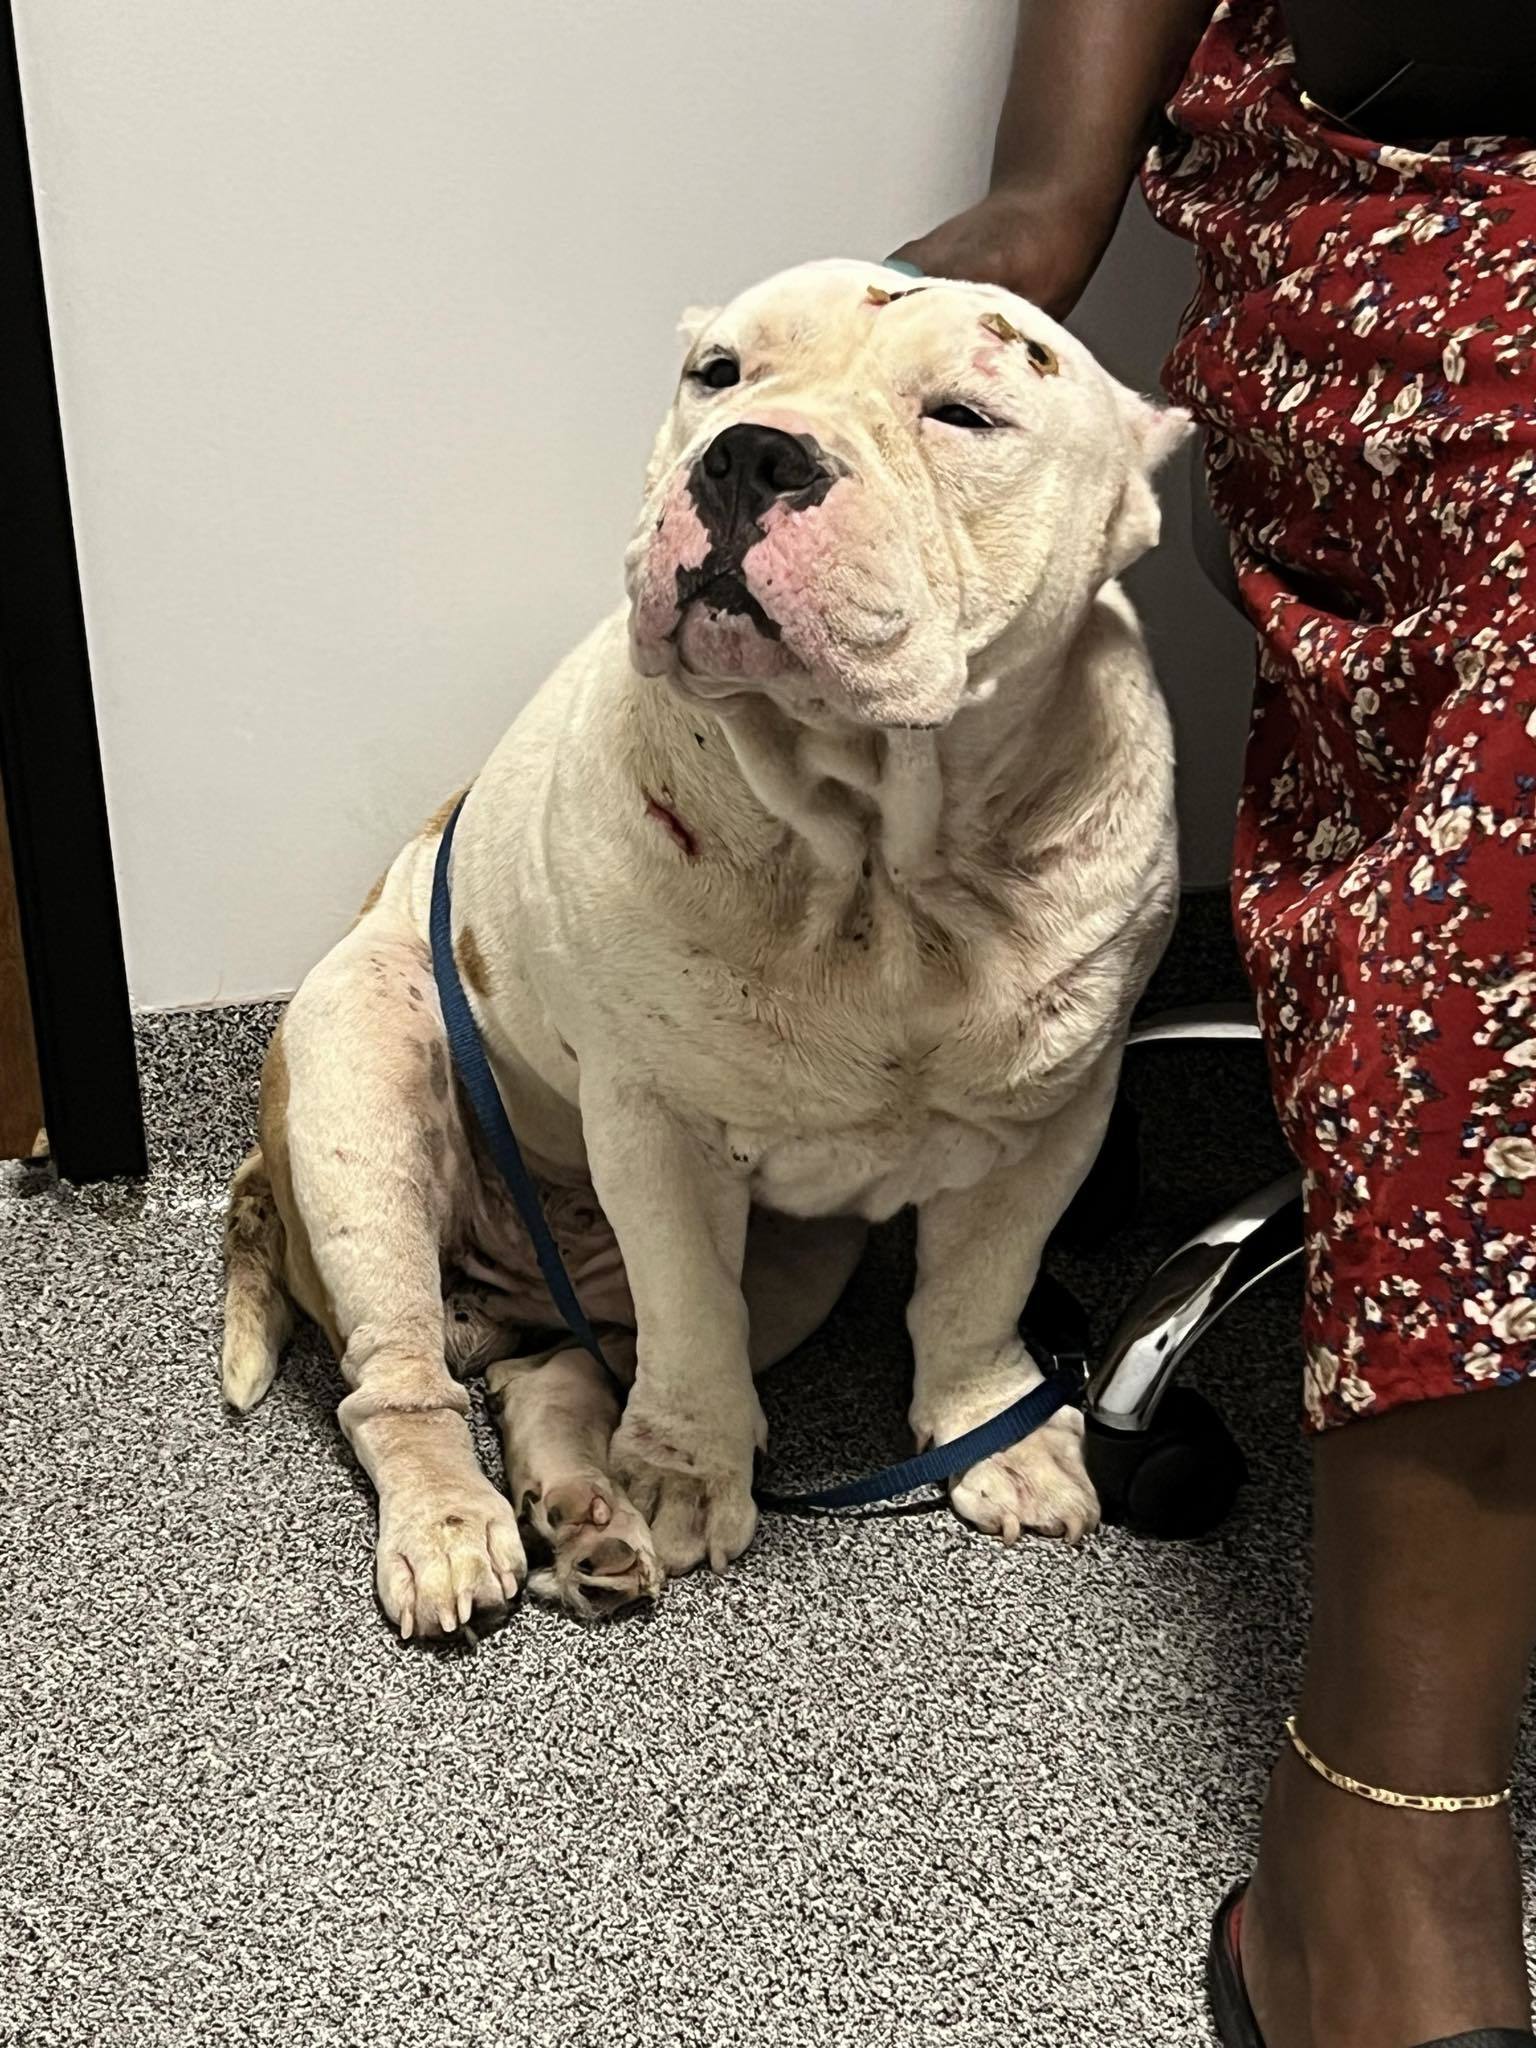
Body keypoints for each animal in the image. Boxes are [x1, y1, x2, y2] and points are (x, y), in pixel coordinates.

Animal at [222, 260, 1187, 1630]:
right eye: (719, 373)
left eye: (965, 414)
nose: (750, 453)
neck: (873, 853)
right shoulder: (659, 1130)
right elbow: (690, 1312)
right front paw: (685, 1474)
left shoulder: (1051, 1122)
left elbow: (978, 1286)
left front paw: (990, 1425)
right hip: (361, 1087)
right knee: (401, 1380)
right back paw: (458, 1526)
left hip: (793, 1267)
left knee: (560, 1370)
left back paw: (586, 1515)